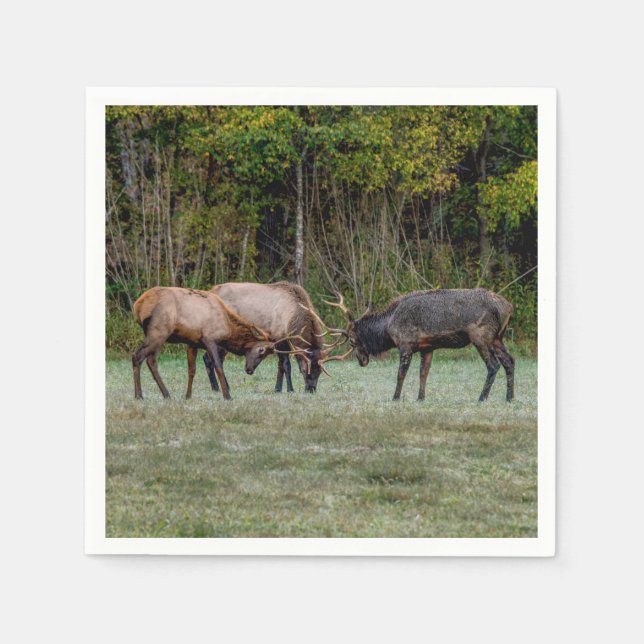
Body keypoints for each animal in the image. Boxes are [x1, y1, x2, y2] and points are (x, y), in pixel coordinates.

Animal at [131, 286, 306, 401]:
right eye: (261, 350)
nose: (249, 370)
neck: (227, 328)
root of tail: (138, 305)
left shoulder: (192, 342)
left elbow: (191, 370)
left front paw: (188, 396)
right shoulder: (210, 339)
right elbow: (218, 366)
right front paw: (227, 395)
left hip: (157, 334)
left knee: (150, 360)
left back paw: (164, 394)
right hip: (159, 331)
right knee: (137, 355)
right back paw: (140, 395)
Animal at [202, 282, 346, 394]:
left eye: (320, 371)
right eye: (305, 370)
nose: (311, 389)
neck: (291, 320)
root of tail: (211, 291)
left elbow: (280, 366)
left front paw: (277, 389)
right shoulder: (279, 338)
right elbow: (286, 365)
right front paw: (290, 389)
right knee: (210, 358)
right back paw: (217, 388)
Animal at [325, 289, 515, 402]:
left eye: (352, 341)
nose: (361, 360)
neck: (388, 327)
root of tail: (507, 307)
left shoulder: (405, 344)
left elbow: (401, 374)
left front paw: (395, 398)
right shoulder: (427, 347)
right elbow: (423, 373)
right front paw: (420, 398)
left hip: (481, 336)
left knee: (493, 364)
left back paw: (482, 398)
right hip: (497, 338)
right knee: (509, 361)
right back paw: (509, 397)